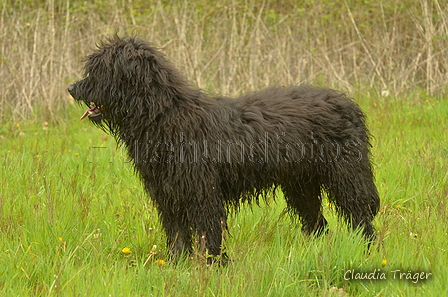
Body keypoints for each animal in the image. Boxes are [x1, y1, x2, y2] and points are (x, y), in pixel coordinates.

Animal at [68, 35, 380, 260]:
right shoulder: (169, 194)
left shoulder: (202, 192)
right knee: (318, 224)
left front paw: (213, 265)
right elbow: (177, 235)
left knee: (361, 216)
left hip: (347, 176)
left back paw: (367, 251)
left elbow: (208, 233)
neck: (164, 115)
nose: (72, 88)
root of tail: (348, 102)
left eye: (100, 71)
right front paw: (175, 265)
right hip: (301, 184)